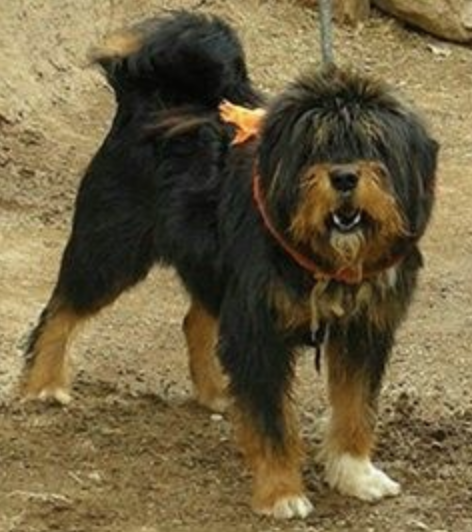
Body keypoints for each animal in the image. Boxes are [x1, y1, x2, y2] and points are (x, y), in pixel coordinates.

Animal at [20, 10, 436, 520]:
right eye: (314, 146)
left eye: (375, 146)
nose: (343, 176)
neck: (325, 255)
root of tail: (150, 99)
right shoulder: (258, 329)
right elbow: (273, 421)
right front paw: (281, 492)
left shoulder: (364, 332)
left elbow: (356, 408)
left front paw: (354, 472)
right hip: (110, 251)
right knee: (59, 310)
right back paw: (43, 383)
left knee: (194, 320)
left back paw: (216, 390)